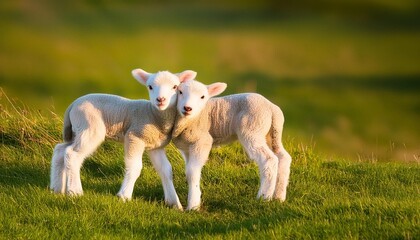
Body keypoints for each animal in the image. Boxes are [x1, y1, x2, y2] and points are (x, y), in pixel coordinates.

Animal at [49, 68, 197, 209]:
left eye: (175, 87)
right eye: (150, 86)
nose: (160, 100)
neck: (153, 114)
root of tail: (72, 105)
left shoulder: (155, 145)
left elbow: (166, 170)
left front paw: (174, 203)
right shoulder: (134, 136)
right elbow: (135, 167)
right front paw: (124, 196)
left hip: (77, 129)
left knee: (60, 150)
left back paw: (57, 189)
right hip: (89, 127)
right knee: (72, 154)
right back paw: (75, 192)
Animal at [172, 79, 290, 210]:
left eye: (202, 96)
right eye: (180, 92)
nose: (187, 108)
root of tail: (272, 108)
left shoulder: (202, 141)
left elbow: (192, 171)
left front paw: (193, 206)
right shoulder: (186, 148)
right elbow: (189, 170)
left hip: (253, 129)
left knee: (269, 159)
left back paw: (264, 197)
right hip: (271, 133)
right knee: (283, 157)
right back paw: (279, 197)